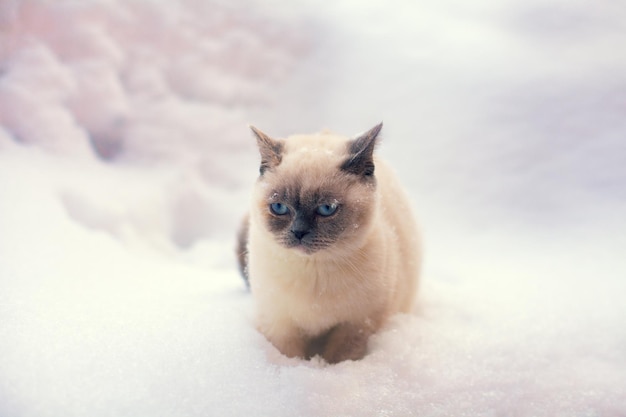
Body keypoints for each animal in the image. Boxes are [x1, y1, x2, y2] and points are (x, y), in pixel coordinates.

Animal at [238, 122, 420, 362]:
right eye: (279, 207)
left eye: (327, 209)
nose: (298, 232)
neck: (313, 271)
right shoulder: (279, 324)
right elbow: (289, 356)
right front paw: (300, 368)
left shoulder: (356, 325)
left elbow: (339, 358)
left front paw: (326, 369)